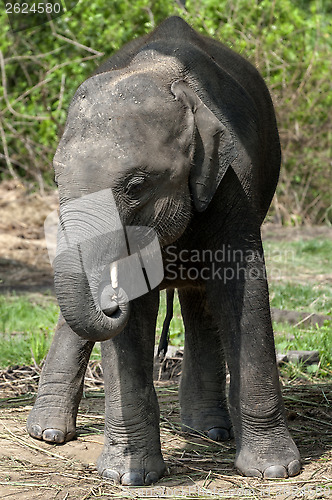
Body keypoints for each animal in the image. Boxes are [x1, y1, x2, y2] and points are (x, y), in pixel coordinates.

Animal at [26, 18, 300, 484]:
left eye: (136, 186)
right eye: (57, 181)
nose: (112, 299)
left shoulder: (234, 183)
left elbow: (243, 288)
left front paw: (275, 470)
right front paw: (129, 477)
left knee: (200, 299)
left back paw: (205, 429)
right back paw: (47, 434)